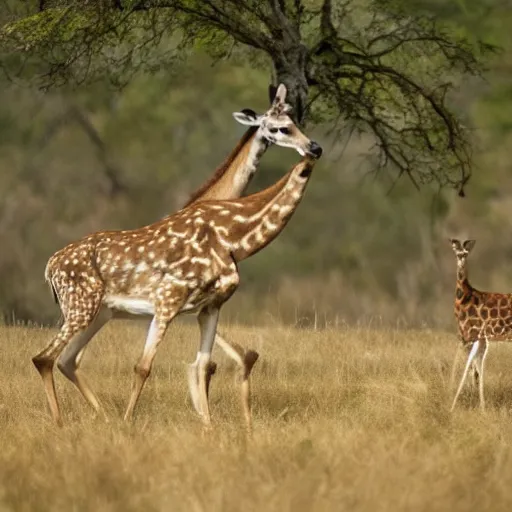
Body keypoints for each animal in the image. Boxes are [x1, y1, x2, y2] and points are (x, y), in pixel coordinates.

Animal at [450, 239, 512, 412]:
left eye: (466, 253)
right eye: (456, 252)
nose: (461, 262)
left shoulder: (470, 336)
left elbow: (472, 369)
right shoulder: (480, 338)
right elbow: (476, 369)